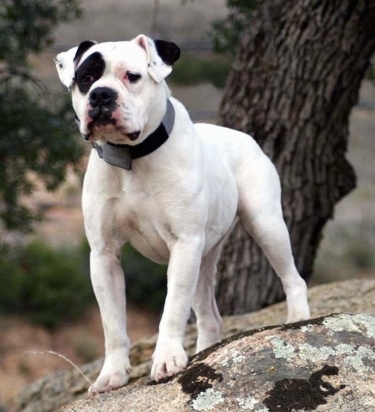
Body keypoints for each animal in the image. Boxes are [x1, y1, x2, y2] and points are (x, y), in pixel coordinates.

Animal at [54, 34, 310, 392]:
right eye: (85, 79)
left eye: (132, 76)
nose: (101, 95)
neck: (133, 157)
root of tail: (244, 136)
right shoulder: (104, 255)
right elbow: (112, 323)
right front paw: (113, 374)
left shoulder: (184, 243)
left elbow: (172, 309)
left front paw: (166, 359)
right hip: (204, 257)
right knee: (209, 316)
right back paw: (205, 351)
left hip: (265, 225)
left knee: (292, 277)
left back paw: (298, 317)